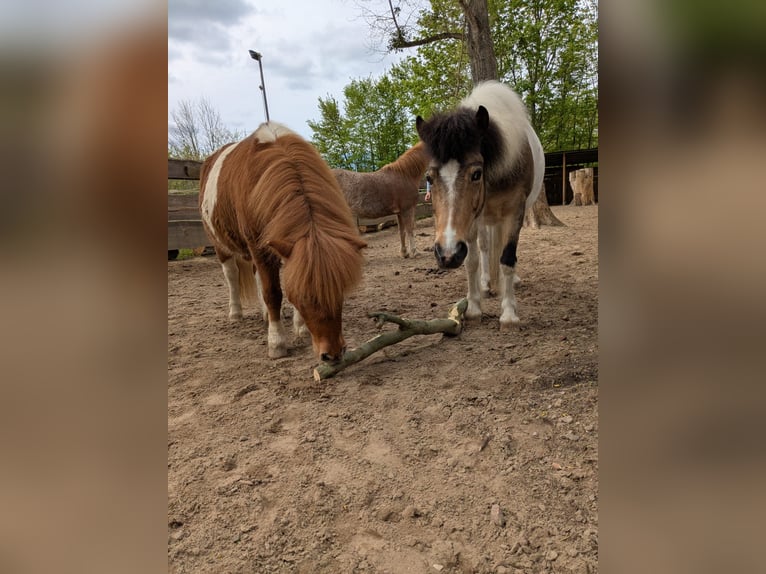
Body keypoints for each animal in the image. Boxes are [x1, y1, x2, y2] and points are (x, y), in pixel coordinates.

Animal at [199, 121, 366, 362]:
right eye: (305, 298)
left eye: (341, 290)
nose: (333, 354)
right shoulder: (259, 247)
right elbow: (273, 293)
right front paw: (277, 343)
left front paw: (300, 329)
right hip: (221, 245)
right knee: (232, 276)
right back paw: (235, 313)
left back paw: (264, 315)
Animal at [415, 80, 545, 329]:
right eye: (429, 178)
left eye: (476, 174)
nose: (446, 254)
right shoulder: (472, 221)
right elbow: (472, 260)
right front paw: (474, 307)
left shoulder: (515, 212)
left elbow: (507, 259)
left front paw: (509, 313)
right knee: (484, 247)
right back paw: (486, 283)